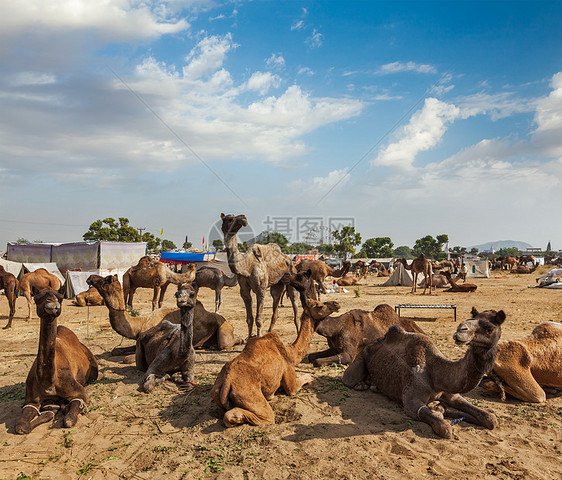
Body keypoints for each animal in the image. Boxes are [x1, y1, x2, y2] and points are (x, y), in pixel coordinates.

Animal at [15, 288, 98, 436]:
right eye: (37, 298)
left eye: (60, 298)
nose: (53, 303)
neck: (48, 383)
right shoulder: (31, 400)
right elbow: (21, 426)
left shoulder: (79, 392)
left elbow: (69, 420)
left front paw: (64, 408)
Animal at [86, 274, 241, 356]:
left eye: (105, 280)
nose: (90, 278)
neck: (140, 324)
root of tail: (228, 322)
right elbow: (115, 351)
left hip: (224, 329)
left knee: (225, 344)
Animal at [209, 296, 336, 428]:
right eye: (319, 306)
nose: (336, 304)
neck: (290, 352)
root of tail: (227, 381)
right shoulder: (289, 376)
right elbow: (299, 383)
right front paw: (310, 377)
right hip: (250, 395)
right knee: (265, 417)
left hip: (215, 391)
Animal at [221, 212, 298, 340]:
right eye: (230, 218)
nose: (243, 218)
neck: (246, 265)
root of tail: (289, 260)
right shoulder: (244, 291)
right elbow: (249, 319)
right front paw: (248, 337)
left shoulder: (261, 289)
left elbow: (258, 319)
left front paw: (258, 337)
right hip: (277, 285)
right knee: (275, 304)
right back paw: (270, 332)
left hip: (292, 277)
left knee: (295, 303)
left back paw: (298, 334)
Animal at [342, 308, 504, 438]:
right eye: (470, 321)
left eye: (490, 329)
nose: (461, 330)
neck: (436, 373)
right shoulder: (411, 403)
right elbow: (444, 428)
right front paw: (440, 413)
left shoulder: (452, 394)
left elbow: (490, 418)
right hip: (361, 357)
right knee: (348, 379)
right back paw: (362, 385)